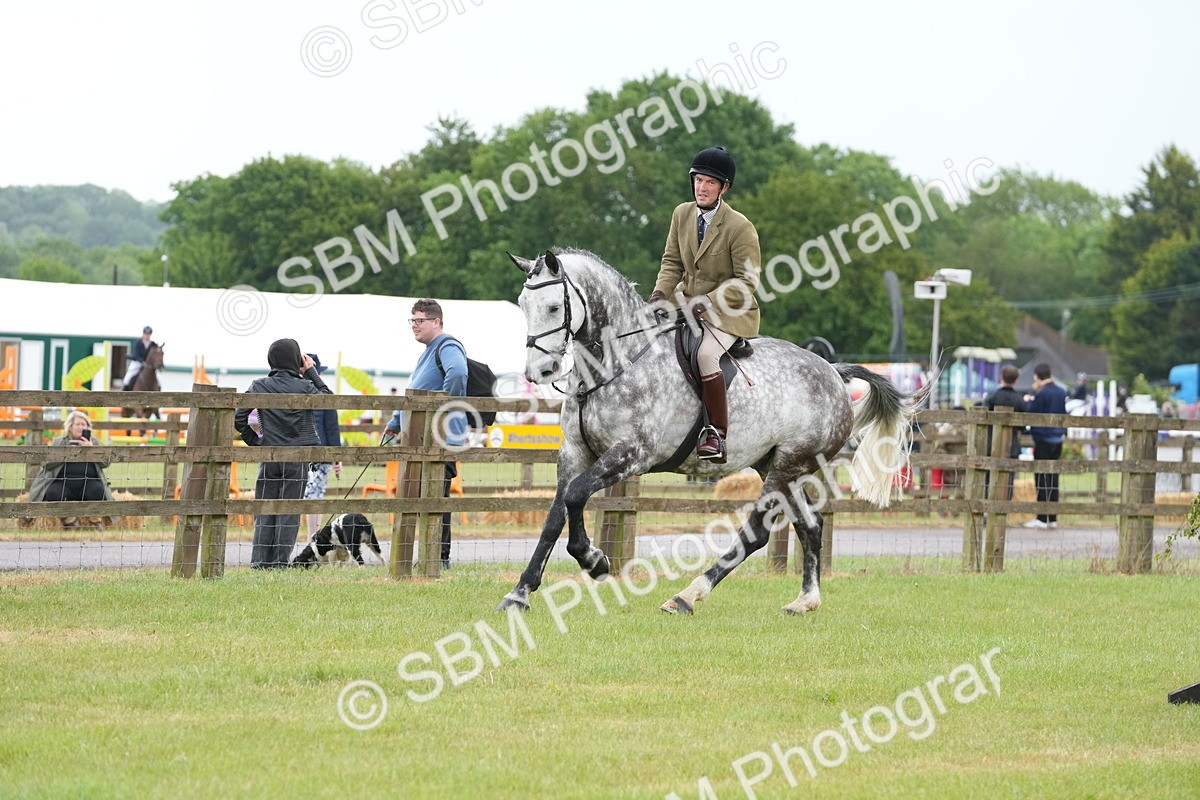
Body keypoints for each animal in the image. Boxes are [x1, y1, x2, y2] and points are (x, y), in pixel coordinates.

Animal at [496, 248, 925, 616]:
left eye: (554, 307)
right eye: (523, 306)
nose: (539, 372)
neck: (613, 363)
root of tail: (834, 372)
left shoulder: (631, 454)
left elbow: (575, 496)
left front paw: (595, 561)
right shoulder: (574, 452)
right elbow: (556, 514)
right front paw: (520, 593)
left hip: (789, 463)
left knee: (756, 533)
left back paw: (688, 595)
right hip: (777, 466)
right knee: (810, 525)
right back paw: (805, 600)